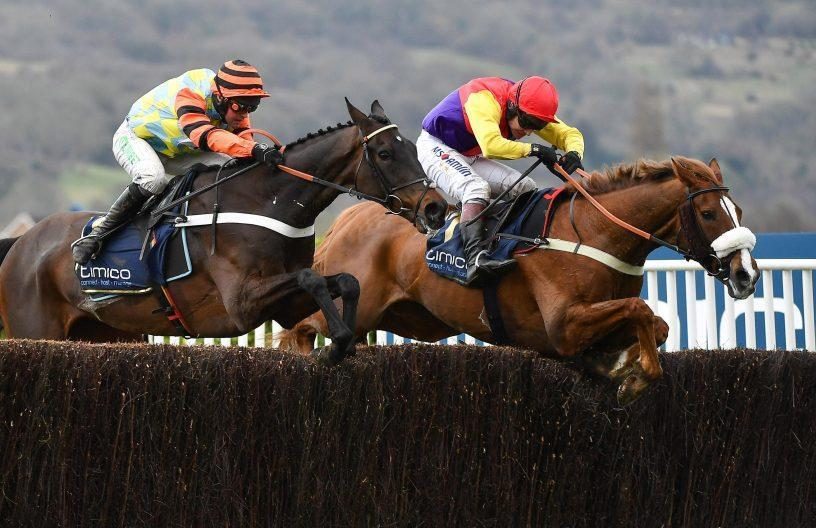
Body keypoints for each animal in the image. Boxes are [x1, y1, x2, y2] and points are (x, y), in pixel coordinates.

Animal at [0, 98, 446, 364]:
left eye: (412, 149)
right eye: (385, 153)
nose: (436, 207)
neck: (267, 201)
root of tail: (22, 243)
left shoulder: (284, 306)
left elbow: (345, 281)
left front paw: (344, 342)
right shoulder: (242, 303)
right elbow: (311, 277)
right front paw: (336, 341)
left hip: (104, 334)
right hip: (35, 330)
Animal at [280, 158, 760, 404]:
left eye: (737, 209)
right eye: (709, 213)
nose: (746, 274)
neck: (593, 232)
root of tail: (351, 215)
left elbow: (656, 324)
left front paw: (621, 366)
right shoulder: (563, 325)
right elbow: (641, 311)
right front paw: (634, 377)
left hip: (406, 316)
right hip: (356, 301)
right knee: (299, 330)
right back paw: (309, 362)